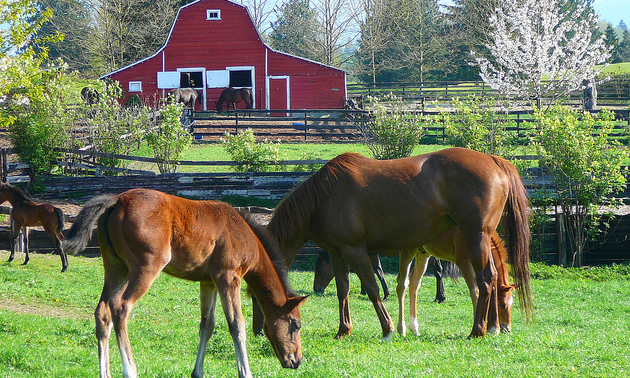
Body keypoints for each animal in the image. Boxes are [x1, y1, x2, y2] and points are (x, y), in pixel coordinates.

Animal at [64, 189, 308, 378]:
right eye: (296, 325)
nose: (296, 360)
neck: (245, 235)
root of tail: (117, 200)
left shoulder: (208, 282)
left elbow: (207, 325)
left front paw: (198, 371)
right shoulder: (228, 276)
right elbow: (237, 324)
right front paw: (245, 372)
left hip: (115, 268)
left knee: (102, 312)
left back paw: (105, 372)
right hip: (145, 267)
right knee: (120, 307)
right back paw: (130, 370)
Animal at [262, 148, 532, 340]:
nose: (260, 331)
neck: (324, 196)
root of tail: (494, 160)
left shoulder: (356, 251)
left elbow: (372, 288)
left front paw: (388, 329)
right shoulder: (338, 252)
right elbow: (343, 290)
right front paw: (343, 330)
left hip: (476, 237)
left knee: (485, 280)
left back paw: (478, 330)